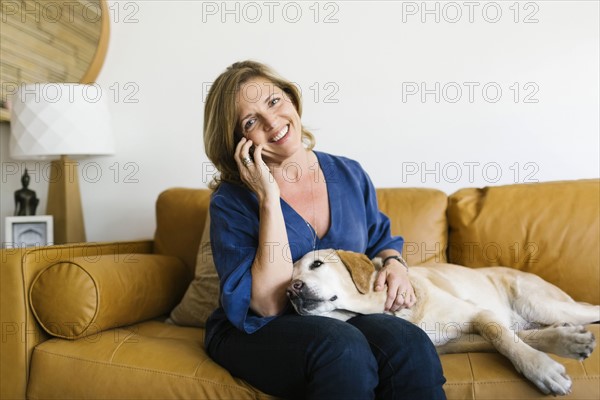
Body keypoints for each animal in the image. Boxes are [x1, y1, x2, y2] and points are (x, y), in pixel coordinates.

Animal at [288, 248, 596, 396]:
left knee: (592, 310)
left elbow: (505, 340)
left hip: (540, 304)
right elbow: (512, 339)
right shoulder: (463, 338)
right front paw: (565, 343)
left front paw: (543, 369)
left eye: (317, 264)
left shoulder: (478, 314)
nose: (291, 290)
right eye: (289, 278)